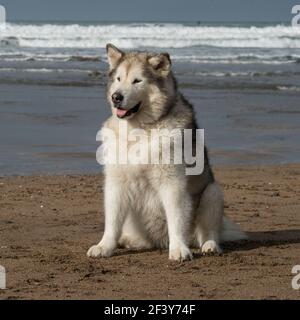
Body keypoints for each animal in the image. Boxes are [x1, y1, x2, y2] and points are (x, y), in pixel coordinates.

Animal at [86, 43, 246, 260]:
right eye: (118, 79)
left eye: (137, 80)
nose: (116, 97)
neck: (140, 129)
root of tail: (159, 241)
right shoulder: (116, 184)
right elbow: (112, 222)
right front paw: (104, 246)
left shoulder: (172, 183)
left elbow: (176, 219)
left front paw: (178, 249)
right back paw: (126, 241)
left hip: (212, 193)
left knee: (209, 232)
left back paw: (210, 246)